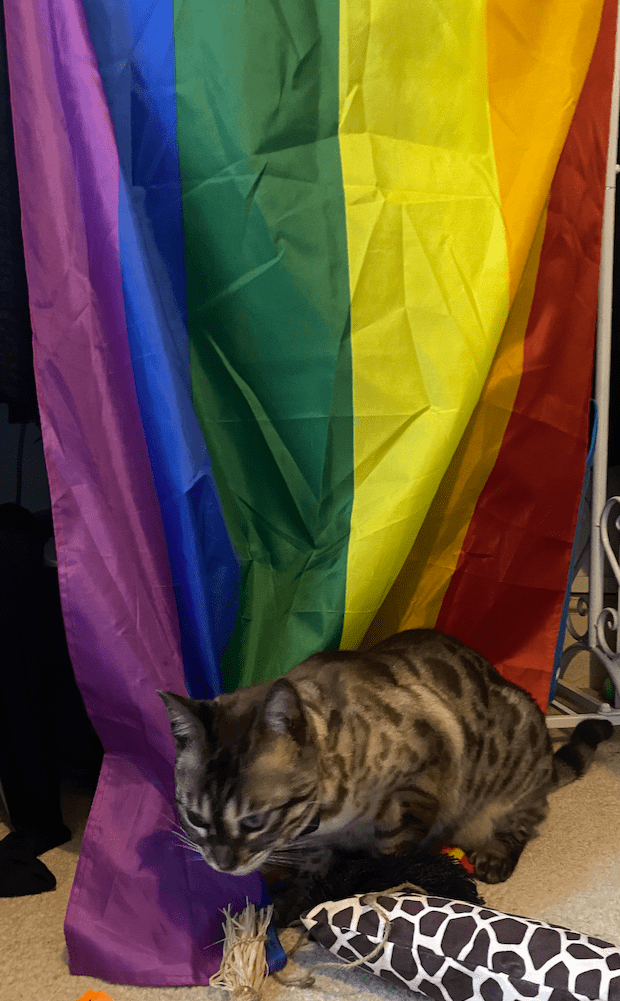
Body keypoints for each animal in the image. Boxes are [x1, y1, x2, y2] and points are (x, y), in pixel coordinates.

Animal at [159, 628, 612, 922]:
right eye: (196, 818)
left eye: (254, 821)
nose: (221, 864)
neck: (325, 818)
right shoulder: (313, 843)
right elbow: (311, 872)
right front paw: (294, 903)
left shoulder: (414, 794)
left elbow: (389, 859)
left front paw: (369, 889)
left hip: (506, 785)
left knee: (524, 825)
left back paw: (493, 857)